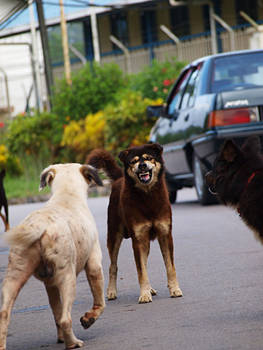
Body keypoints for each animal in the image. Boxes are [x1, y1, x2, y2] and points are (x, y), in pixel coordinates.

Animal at [0, 164, 105, 350]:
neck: (67, 195)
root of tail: (40, 225)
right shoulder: (94, 264)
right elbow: (100, 302)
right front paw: (90, 318)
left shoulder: (50, 284)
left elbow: (56, 310)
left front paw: (60, 337)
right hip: (68, 278)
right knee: (65, 319)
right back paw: (73, 343)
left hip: (14, 275)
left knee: (4, 314)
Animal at [87, 144, 183, 302]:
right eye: (134, 161)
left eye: (149, 158)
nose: (142, 165)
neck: (147, 196)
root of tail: (120, 179)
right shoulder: (138, 239)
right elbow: (141, 271)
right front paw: (144, 294)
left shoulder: (165, 235)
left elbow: (170, 267)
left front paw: (174, 289)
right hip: (114, 235)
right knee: (113, 266)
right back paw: (111, 291)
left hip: (145, 243)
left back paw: (150, 289)